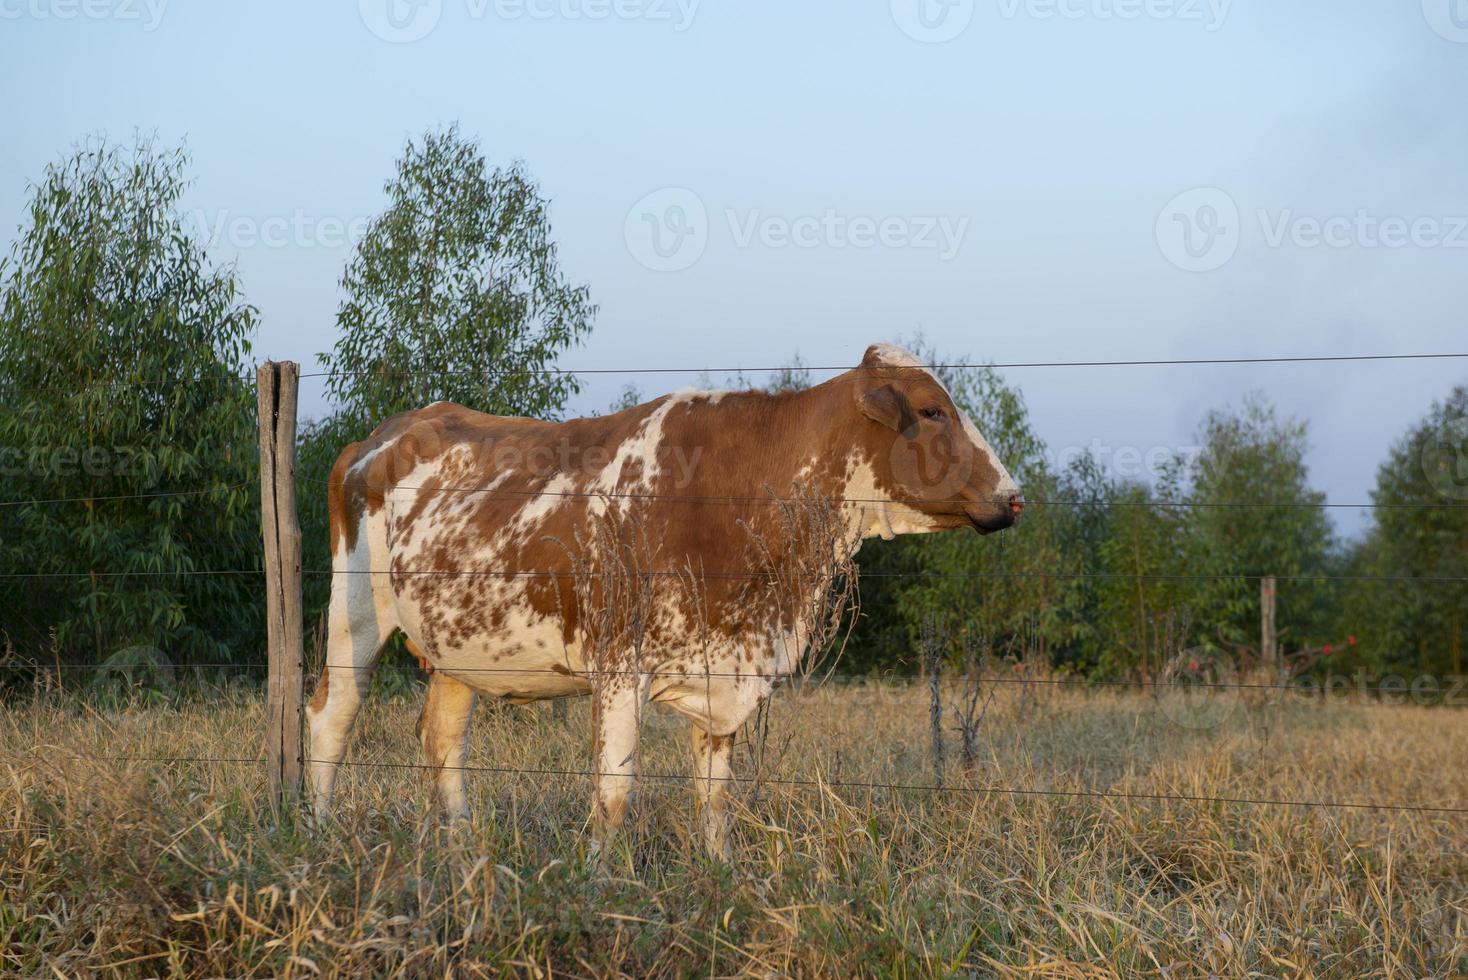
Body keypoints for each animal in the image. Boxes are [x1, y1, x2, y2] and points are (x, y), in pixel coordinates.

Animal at [306, 344, 1021, 856]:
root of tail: (387, 431)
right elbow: (614, 796)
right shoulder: (621, 667)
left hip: (459, 646)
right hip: (354, 614)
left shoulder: (727, 669)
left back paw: (464, 854)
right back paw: (317, 836)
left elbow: (715, 800)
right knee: (330, 719)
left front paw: (720, 877)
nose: (1013, 497)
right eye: (931, 411)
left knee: (443, 739)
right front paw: (595, 885)